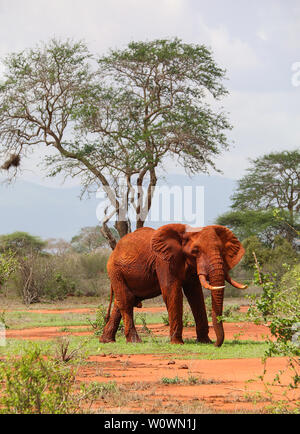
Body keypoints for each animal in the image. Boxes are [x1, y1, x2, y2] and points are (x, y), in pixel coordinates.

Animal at [100, 225, 246, 348]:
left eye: (221, 250)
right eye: (195, 251)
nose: (216, 345)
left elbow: (195, 294)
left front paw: (205, 342)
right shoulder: (164, 261)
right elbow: (172, 291)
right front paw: (177, 343)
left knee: (120, 302)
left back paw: (106, 341)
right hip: (115, 270)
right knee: (126, 300)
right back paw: (135, 342)